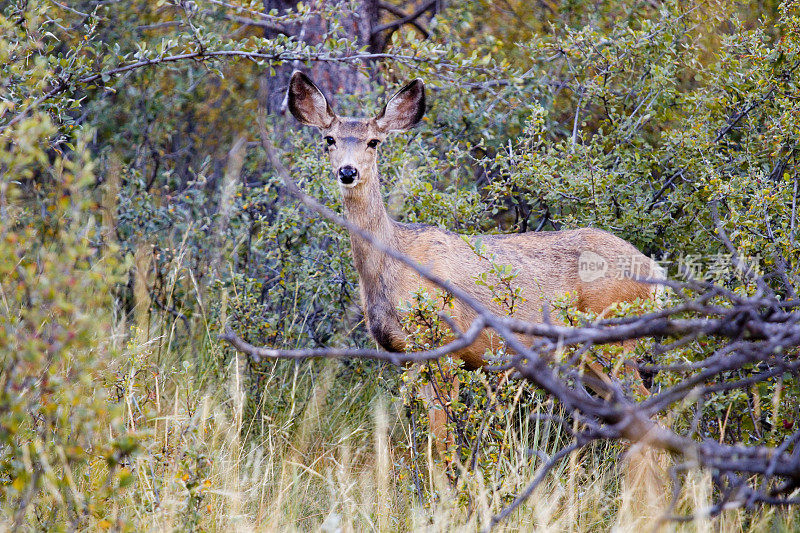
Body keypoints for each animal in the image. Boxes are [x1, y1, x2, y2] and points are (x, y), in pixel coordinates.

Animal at [288, 71, 664, 448]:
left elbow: (442, 437)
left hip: (613, 333)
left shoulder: (444, 345)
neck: (391, 265)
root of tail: (654, 271)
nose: (348, 172)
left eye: (374, 142)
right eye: (329, 139)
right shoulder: (403, 354)